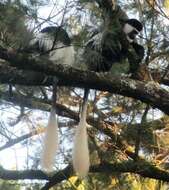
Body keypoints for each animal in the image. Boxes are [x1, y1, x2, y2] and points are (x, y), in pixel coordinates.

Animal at [72, 18, 145, 177]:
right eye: (134, 31)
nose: (134, 37)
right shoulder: (115, 32)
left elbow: (135, 49)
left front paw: (139, 50)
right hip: (94, 55)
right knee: (104, 46)